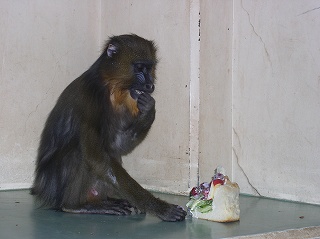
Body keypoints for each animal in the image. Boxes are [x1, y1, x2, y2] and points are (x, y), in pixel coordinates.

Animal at [31, 34, 186, 222]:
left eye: (150, 68)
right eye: (139, 68)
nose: (150, 85)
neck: (112, 86)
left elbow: (117, 147)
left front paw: (149, 109)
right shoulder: (89, 100)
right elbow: (96, 157)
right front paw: (161, 208)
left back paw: (109, 200)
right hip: (55, 189)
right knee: (78, 154)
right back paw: (76, 206)